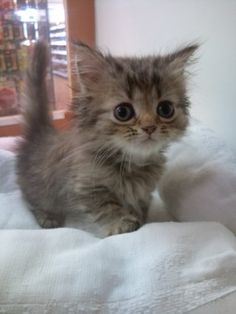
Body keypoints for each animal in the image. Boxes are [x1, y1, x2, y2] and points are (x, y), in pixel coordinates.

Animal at [17, 41, 197, 236]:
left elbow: (141, 206)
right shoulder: (85, 187)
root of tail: (41, 132)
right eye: (122, 112)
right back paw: (48, 218)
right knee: (34, 202)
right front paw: (123, 223)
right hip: (40, 191)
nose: (149, 127)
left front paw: (140, 219)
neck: (132, 165)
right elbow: (106, 207)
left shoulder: (143, 192)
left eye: (165, 109)